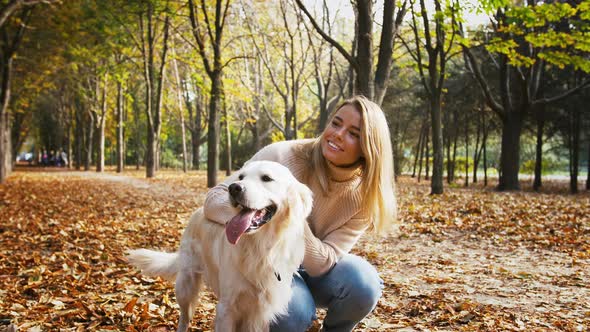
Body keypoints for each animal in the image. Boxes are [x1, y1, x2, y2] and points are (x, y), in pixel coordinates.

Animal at [128, 160, 314, 330]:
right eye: (240, 176)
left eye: (267, 178)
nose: (234, 188)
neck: (261, 247)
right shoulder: (227, 308)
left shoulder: (259, 314)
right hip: (186, 284)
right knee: (184, 317)